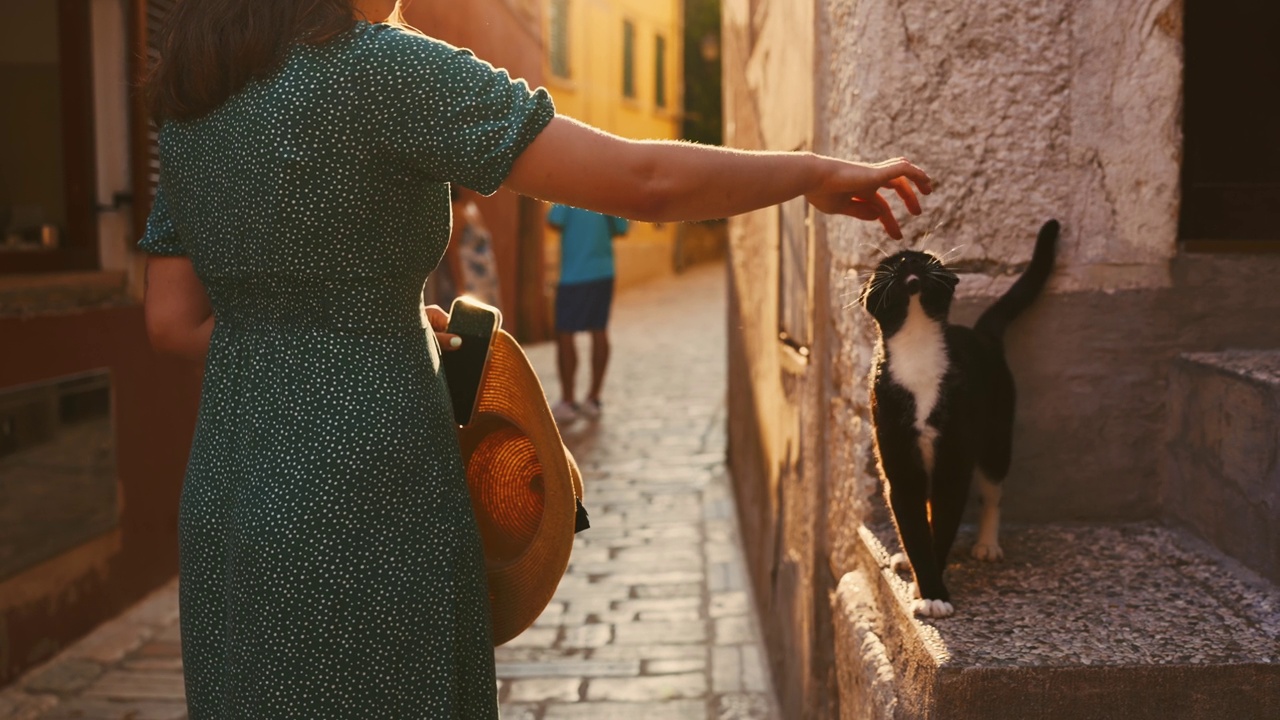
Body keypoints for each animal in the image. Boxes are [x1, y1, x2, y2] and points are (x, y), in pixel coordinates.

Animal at [860, 220, 1059, 617]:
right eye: (888, 263)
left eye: (926, 257)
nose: (908, 259)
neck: (917, 349)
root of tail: (982, 334)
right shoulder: (901, 469)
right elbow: (915, 527)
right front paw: (926, 583)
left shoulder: (954, 463)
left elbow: (944, 523)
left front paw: (933, 589)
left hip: (996, 438)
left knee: (993, 493)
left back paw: (987, 545)